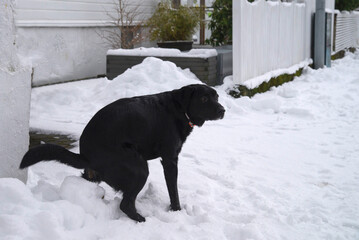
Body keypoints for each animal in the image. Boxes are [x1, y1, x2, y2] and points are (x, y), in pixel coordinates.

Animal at [19, 84, 225, 221]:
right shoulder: (169, 159)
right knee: (125, 204)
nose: (223, 110)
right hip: (139, 168)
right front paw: (177, 211)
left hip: (96, 174)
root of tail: (85, 153)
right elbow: (173, 190)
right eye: (204, 99)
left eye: (217, 97)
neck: (179, 110)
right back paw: (140, 219)